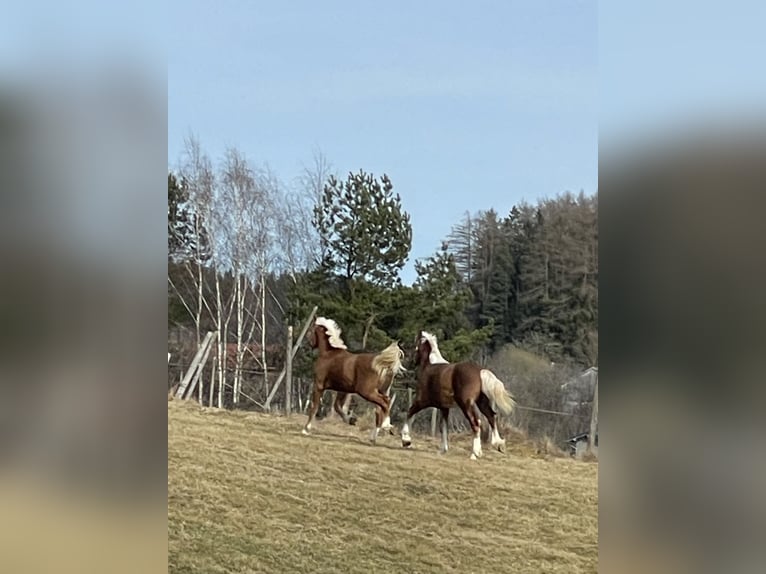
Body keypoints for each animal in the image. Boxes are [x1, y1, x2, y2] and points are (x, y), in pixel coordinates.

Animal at [402, 330, 516, 462]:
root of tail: (480, 371)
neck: (429, 365)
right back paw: (498, 444)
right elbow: (443, 426)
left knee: (476, 423)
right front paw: (443, 449)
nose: (410, 361)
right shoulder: (444, 408)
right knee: (491, 416)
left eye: (414, 344)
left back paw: (475, 454)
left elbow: (409, 413)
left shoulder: (422, 401)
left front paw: (406, 440)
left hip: (465, 404)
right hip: (481, 402)